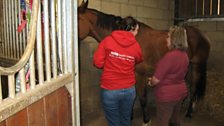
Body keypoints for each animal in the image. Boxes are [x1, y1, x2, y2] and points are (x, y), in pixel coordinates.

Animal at [77, 0, 210, 124]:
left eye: (77, 19)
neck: (129, 38)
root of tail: (201, 34)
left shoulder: (140, 74)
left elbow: (142, 98)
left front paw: (146, 120)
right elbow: (132, 96)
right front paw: (130, 116)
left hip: (196, 66)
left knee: (193, 87)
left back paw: (189, 113)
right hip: (188, 67)